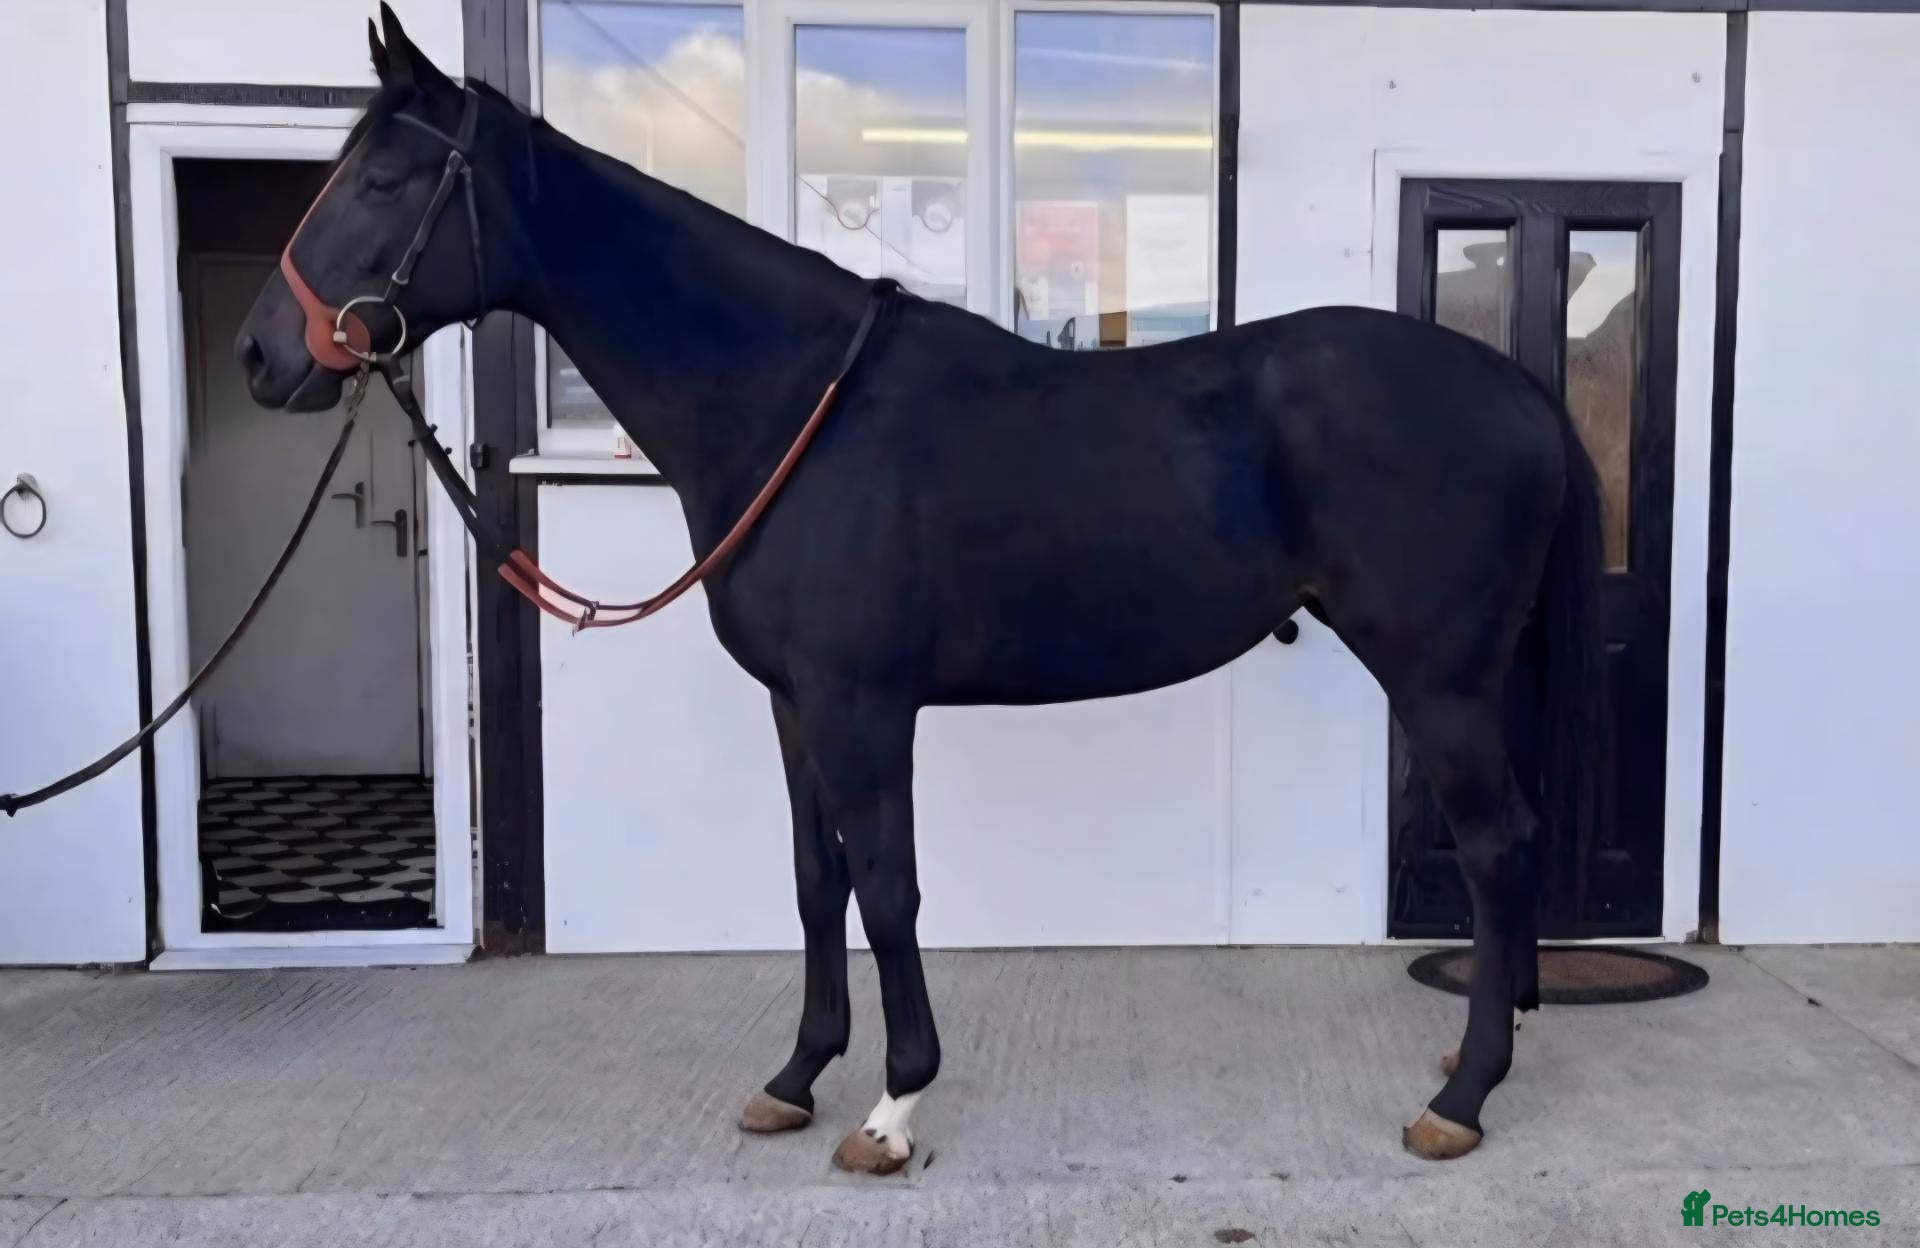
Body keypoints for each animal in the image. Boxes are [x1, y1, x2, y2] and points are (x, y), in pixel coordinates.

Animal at [237, 6, 1605, 1173]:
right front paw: (796, 1079)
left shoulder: (862, 704)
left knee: (1496, 843)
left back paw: (1460, 1098)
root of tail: (1522, 394)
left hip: (1438, 675)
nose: (261, 355)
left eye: (381, 180)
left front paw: (893, 1107)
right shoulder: (796, 705)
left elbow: (889, 886)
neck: (795, 405)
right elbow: (817, 882)